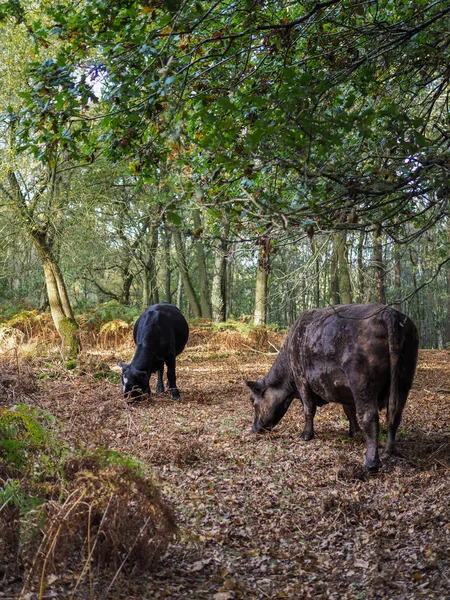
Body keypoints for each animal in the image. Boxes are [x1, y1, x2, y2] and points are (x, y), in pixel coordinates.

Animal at [246, 308, 418, 472]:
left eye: (253, 401)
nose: (254, 428)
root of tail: (390, 313)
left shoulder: (302, 380)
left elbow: (308, 409)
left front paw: (306, 435)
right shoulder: (345, 390)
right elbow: (349, 411)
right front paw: (354, 431)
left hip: (363, 384)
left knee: (370, 418)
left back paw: (371, 463)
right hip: (403, 382)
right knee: (394, 416)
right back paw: (389, 451)